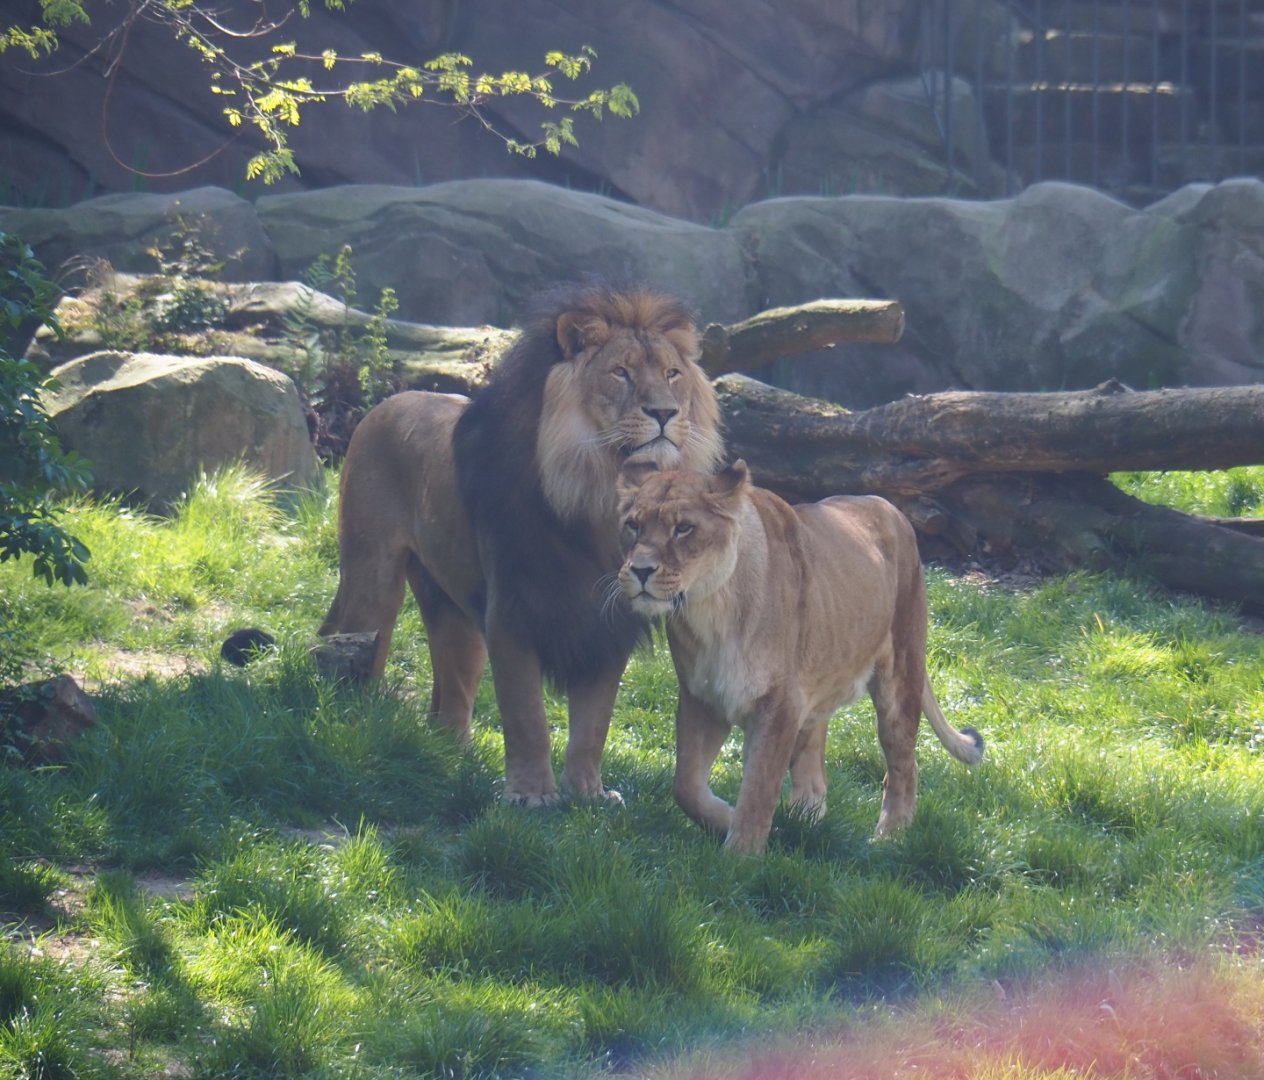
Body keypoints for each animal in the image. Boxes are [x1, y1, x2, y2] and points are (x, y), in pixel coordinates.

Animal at [318, 283, 724, 804]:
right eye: (621, 372)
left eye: (673, 374)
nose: (664, 412)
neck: (600, 490)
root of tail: (392, 399)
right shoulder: (512, 609)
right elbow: (526, 714)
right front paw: (532, 795)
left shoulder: (608, 620)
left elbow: (595, 721)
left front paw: (588, 793)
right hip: (373, 581)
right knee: (355, 649)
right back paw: (357, 731)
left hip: (455, 612)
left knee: (452, 696)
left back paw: (452, 759)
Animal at [616, 460, 984, 854]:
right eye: (633, 525)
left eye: (683, 528)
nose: (640, 570)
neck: (711, 609)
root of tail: (887, 505)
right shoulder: (702, 698)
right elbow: (685, 785)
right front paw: (727, 820)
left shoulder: (779, 703)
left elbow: (758, 787)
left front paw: (740, 855)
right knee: (815, 768)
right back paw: (804, 820)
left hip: (900, 676)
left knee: (904, 762)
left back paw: (889, 837)